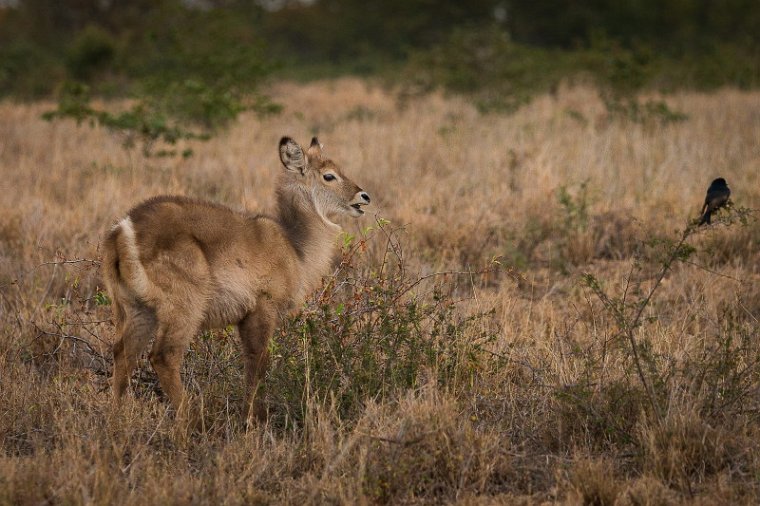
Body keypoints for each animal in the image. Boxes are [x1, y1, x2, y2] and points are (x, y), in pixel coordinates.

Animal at [103, 137, 372, 420]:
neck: (294, 245)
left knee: (123, 353)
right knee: (164, 356)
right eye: (328, 175)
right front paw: (252, 420)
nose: (363, 196)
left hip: (137, 308)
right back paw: (192, 421)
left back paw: (116, 419)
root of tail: (124, 229)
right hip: (184, 306)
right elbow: (258, 362)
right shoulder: (262, 307)